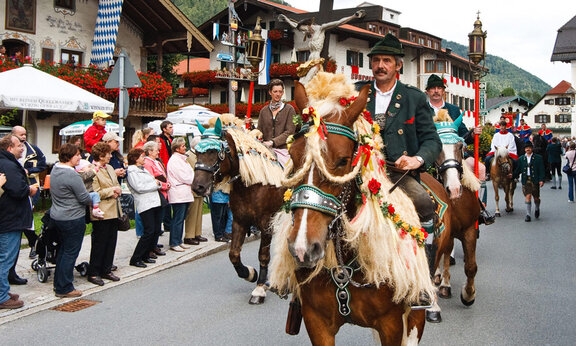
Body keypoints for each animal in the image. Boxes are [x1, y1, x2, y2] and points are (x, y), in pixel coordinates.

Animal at [192, 120, 284, 304]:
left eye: (214, 151)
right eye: (197, 152)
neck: (251, 184)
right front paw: (250, 274)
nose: (197, 187)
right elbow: (233, 254)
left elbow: (263, 255)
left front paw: (259, 289)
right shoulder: (239, 221)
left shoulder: (266, 224)